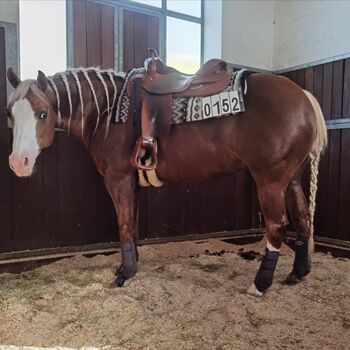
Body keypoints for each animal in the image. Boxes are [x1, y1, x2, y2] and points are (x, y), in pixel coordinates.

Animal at [4, 65, 328, 296]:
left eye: (42, 114)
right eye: (9, 114)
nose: (18, 163)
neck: (106, 110)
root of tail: (304, 96)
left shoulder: (118, 179)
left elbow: (123, 225)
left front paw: (124, 274)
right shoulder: (130, 182)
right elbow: (132, 225)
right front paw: (130, 265)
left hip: (270, 180)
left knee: (277, 226)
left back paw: (260, 284)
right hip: (292, 179)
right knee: (302, 218)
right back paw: (297, 273)